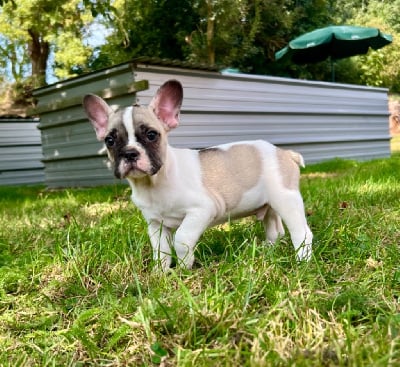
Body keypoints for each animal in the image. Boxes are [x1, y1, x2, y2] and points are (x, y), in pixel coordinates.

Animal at [82, 80, 312, 270]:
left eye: (151, 135)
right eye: (110, 141)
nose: (130, 153)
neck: (153, 183)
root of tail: (285, 153)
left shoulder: (201, 210)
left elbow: (181, 238)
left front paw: (186, 265)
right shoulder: (156, 225)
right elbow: (161, 251)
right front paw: (160, 274)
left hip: (285, 199)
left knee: (302, 232)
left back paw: (303, 261)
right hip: (270, 204)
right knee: (275, 229)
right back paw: (269, 250)